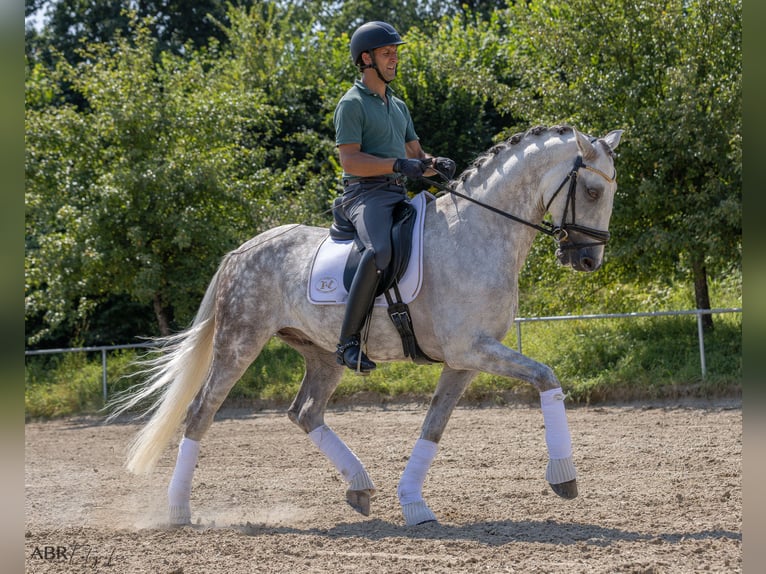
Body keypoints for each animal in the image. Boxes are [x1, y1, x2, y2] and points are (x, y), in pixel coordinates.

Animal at [109, 125, 624, 528]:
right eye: (592, 191)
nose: (588, 260)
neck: (477, 232)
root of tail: (241, 250)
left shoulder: (464, 360)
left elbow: (434, 426)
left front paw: (414, 505)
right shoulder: (473, 350)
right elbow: (546, 377)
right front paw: (564, 477)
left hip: (323, 353)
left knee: (305, 412)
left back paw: (359, 487)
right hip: (240, 342)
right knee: (201, 412)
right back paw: (178, 512)